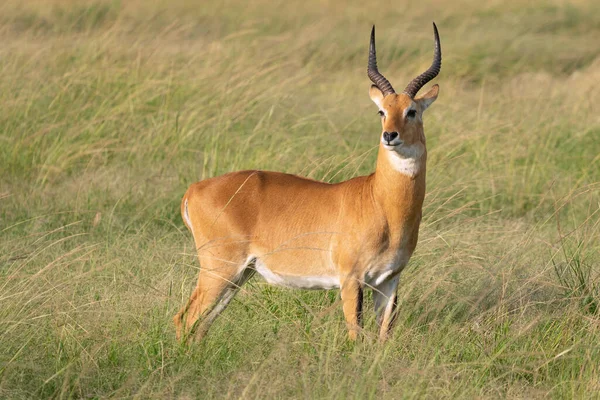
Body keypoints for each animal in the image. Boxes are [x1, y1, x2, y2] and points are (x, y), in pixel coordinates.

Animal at [173, 22, 440, 340]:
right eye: (382, 111)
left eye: (411, 111)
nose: (389, 135)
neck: (381, 202)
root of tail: (193, 189)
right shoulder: (351, 279)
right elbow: (355, 336)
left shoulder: (389, 281)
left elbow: (383, 336)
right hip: (219, 270)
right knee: (184, 319)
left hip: (238, 275)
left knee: (201, 325)